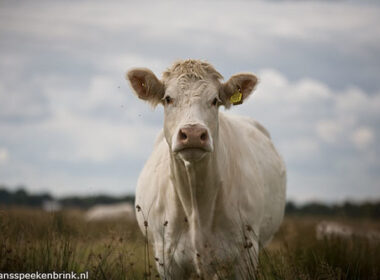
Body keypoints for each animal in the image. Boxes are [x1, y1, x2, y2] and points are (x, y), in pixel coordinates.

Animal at [126, 59, 286, 278]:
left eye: (215, 100)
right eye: (168, 98)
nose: (193, 133)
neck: (197, 203)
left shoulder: (246, 255)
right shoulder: (166, 259)